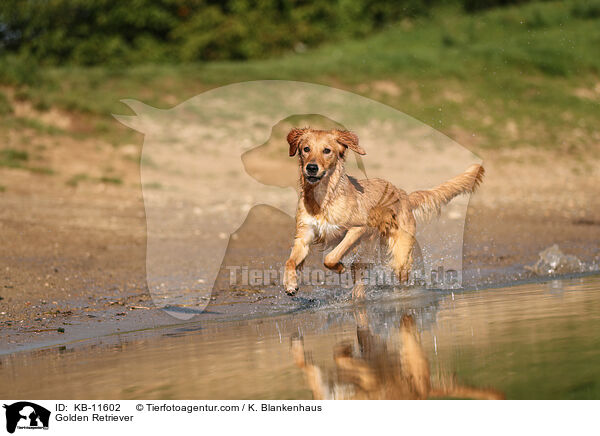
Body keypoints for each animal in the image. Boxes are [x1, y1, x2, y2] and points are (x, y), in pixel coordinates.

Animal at [284, 127, 486, 298]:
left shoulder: (359, 228)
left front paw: (339, 267)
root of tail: (404, 195)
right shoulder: (304, 235)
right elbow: (290, 261)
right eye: (306, 149)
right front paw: (290, 284)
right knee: (359, 279)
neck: (323, 198)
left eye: (327, 150)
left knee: (401, 278)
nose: (311, 168)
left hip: (400, 255)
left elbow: (331, 256)